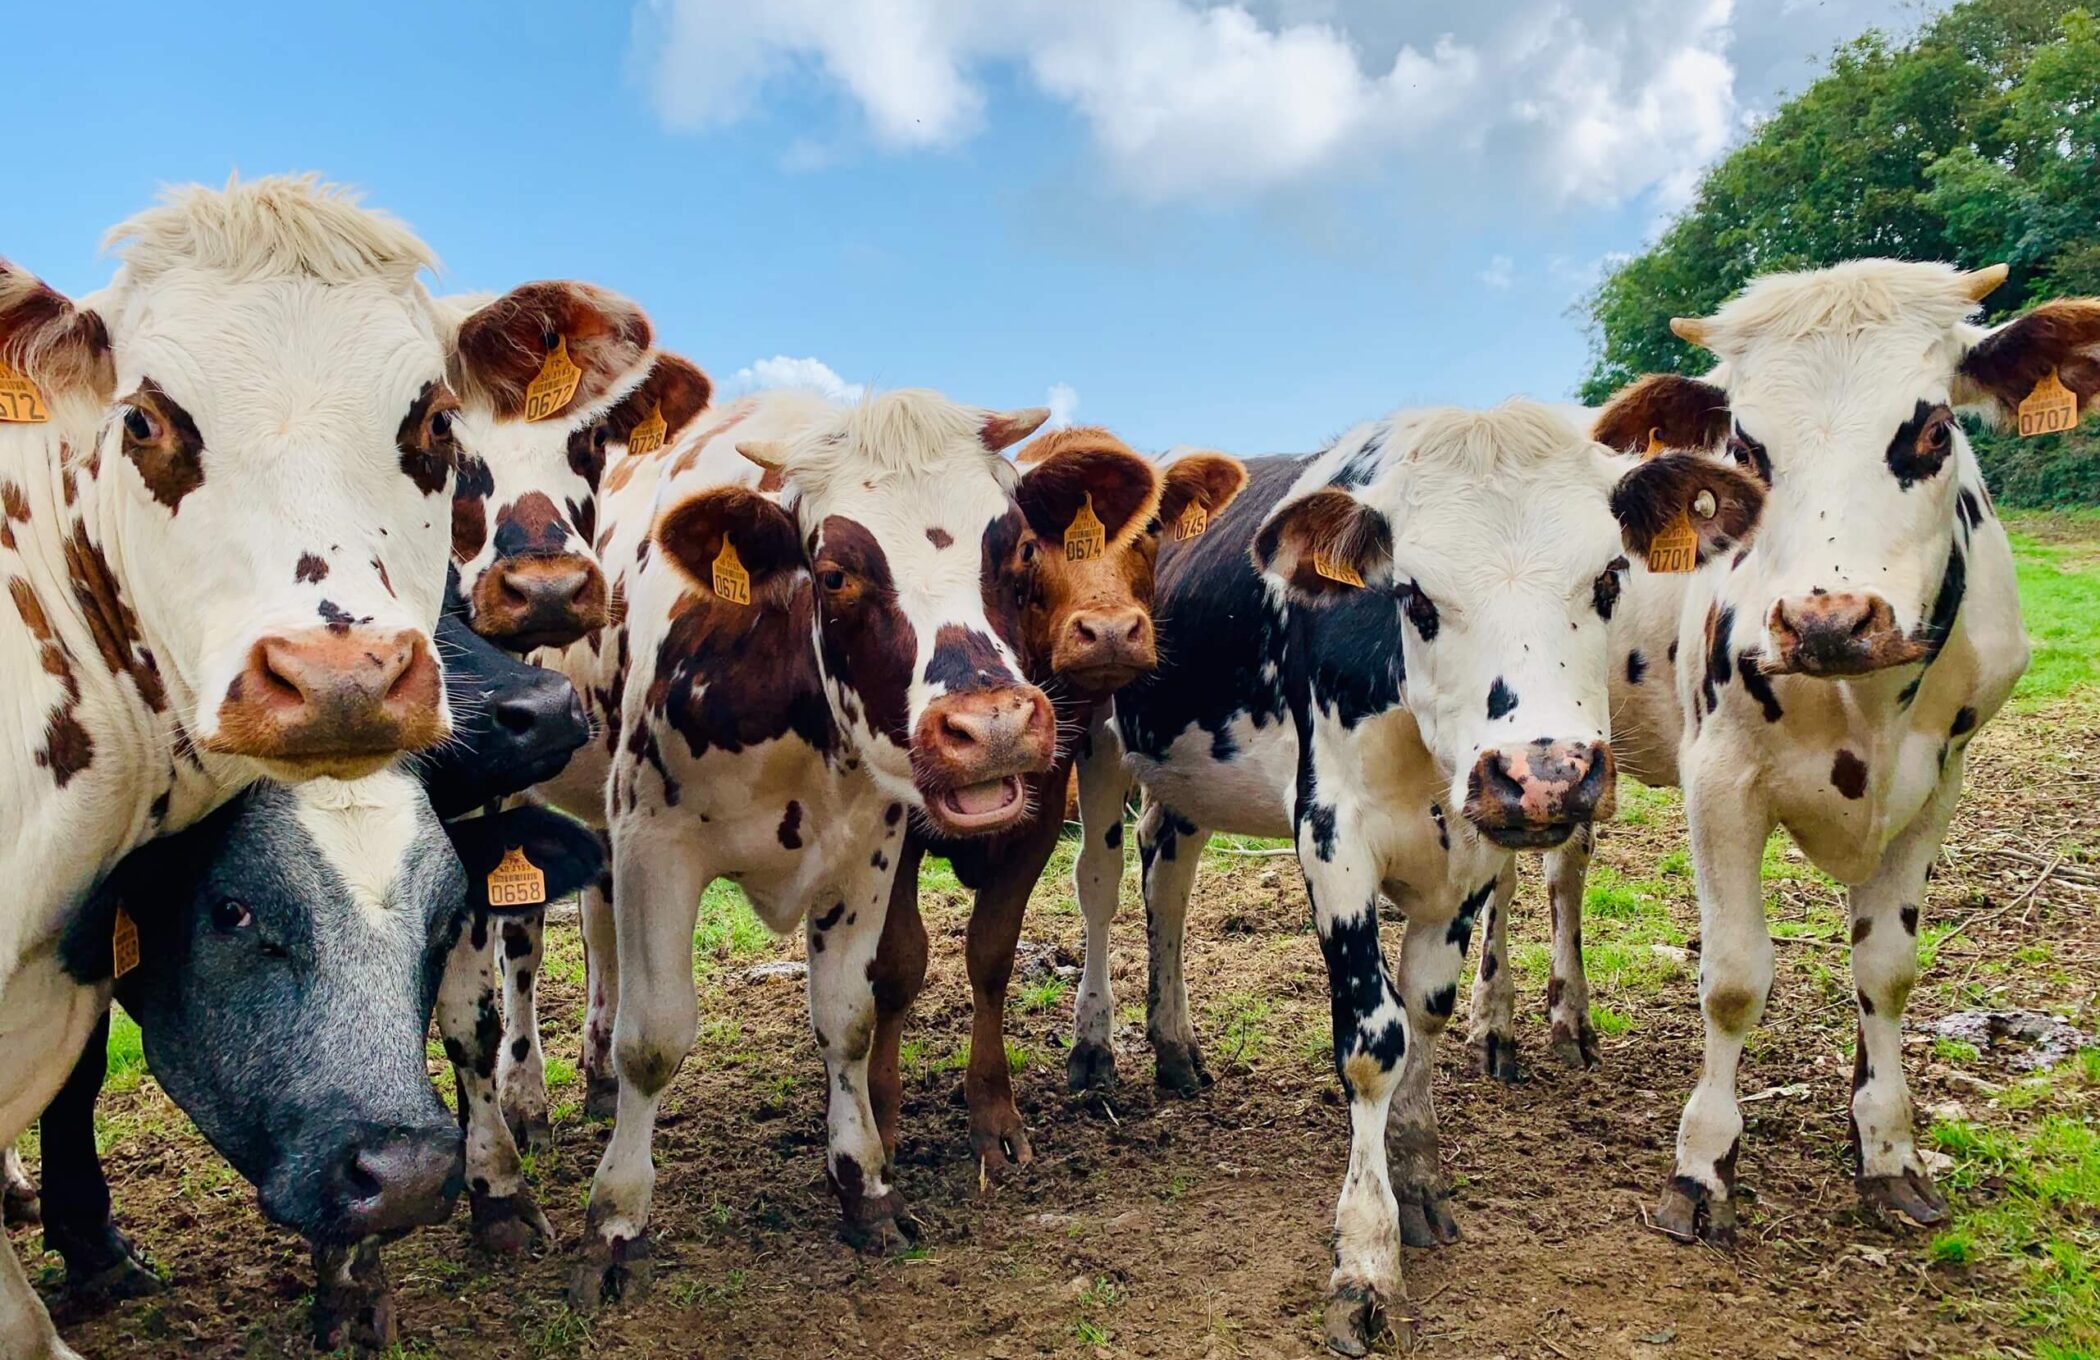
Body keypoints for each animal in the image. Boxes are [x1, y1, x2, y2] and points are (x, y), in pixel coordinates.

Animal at [526, 383, 1152, 1307]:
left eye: (1019, 556)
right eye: (834, 574)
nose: (994, 728)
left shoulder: (869, 852)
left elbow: (850, 1020)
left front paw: (865, 1187)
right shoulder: (654, 845)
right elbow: (656, 1038)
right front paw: (614, 1225)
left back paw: (594, 1071)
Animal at [864, 427, 1247, 1172]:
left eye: (1149, 530)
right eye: (1027, 543)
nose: (1110, 632)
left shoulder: (1046, 809)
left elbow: (993, 952)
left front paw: (994, 1115)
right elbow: (898, 961)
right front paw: (880, 1121)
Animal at [1068, 403, 1765, 1353]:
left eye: (1608, 581)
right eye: (1415, 596)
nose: (1544, 774)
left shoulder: (1470, 857)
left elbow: (1426, 1011)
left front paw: (1419, 1177)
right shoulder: (1331, 836)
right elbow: (1374, 1040)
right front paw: (1365, 1257)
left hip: (1185, 779)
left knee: (1165, 877)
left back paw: (1174, 1046)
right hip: (1096, 739)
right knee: (1100, 881)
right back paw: (1095, 1046)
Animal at [1470, 260, 2090, 1249]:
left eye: (1934, 428)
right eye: (1745, 449)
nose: (1826, 619)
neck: (1864, 702)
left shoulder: (1939, 784)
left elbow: (1887, 971)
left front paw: (1887, 1151)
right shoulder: (1720, 780)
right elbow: (1732, 978)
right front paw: (1702, 1167)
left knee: (1567, 871)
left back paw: (1571, 1019)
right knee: (1499, 877)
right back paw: (1496, 1026)